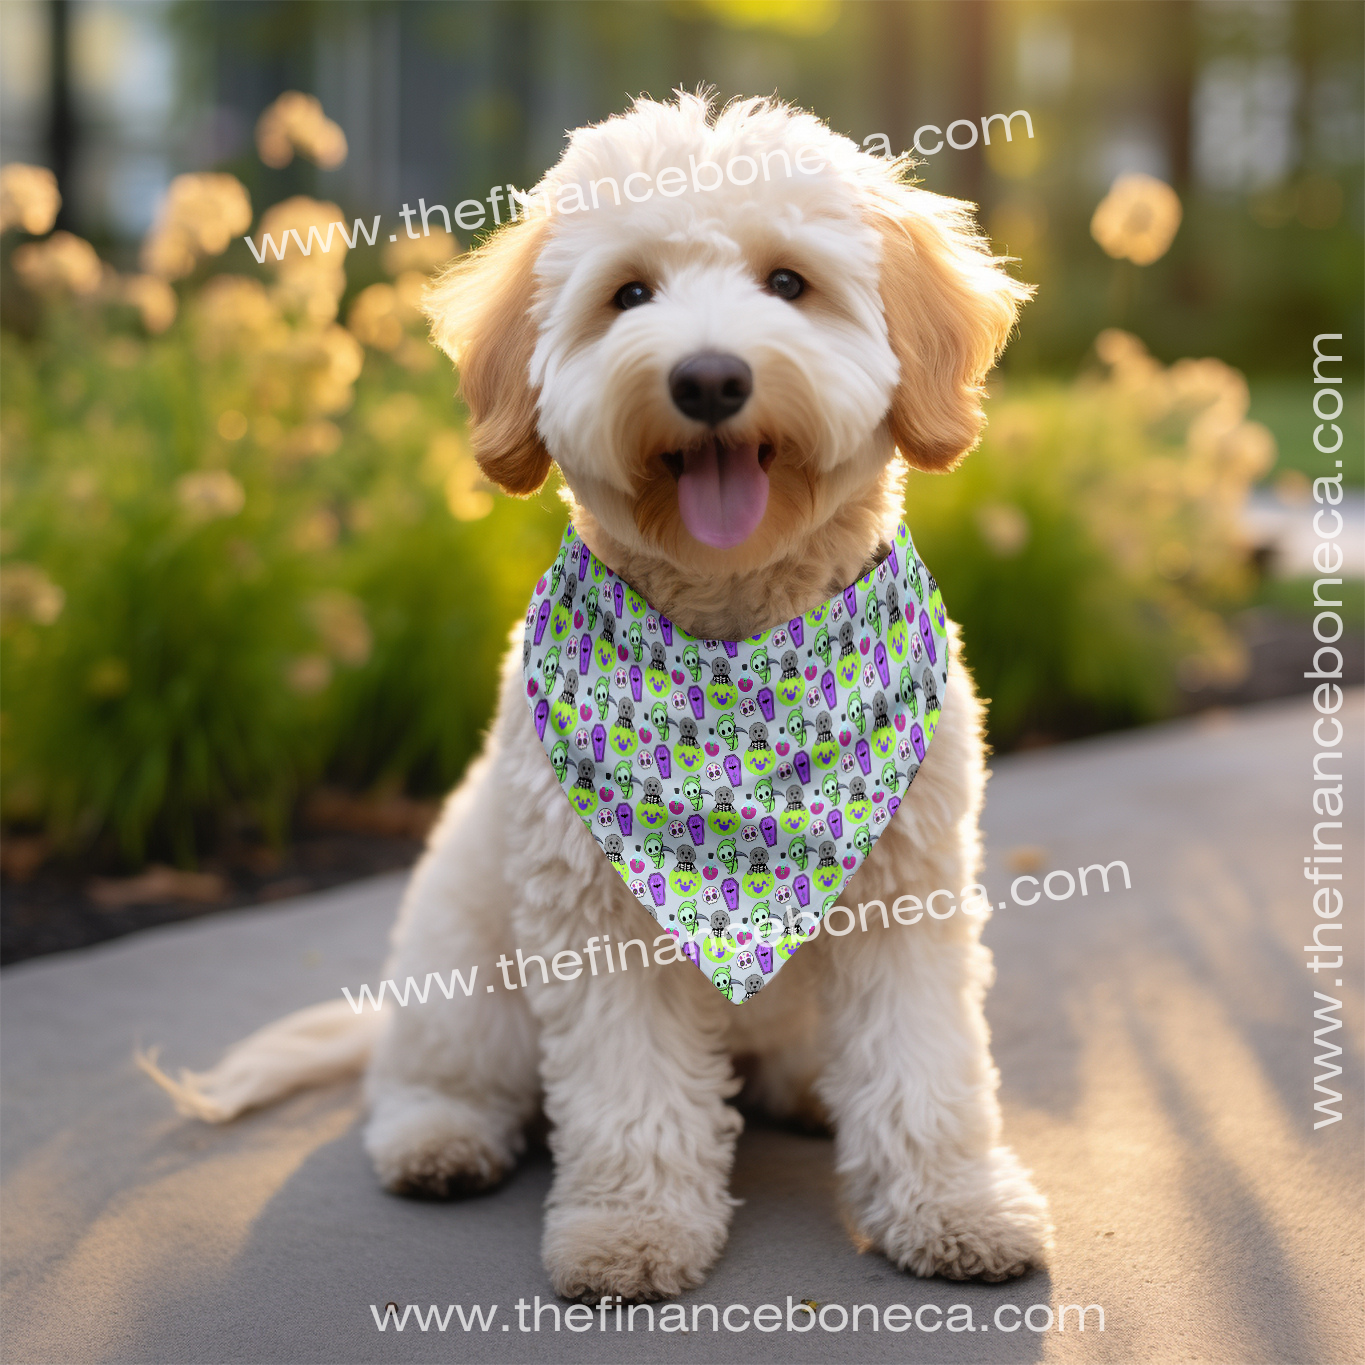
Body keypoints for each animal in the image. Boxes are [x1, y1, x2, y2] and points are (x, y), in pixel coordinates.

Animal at [154, 90, 1059, 1294]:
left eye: (789, 282)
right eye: (630, 294)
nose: (709, 379)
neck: (734, 654)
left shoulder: (908, 897)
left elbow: (927, 1068)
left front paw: (955, 1204)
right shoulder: (596, 920)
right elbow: (630, 1094)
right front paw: (630, 1230)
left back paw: (810, 1096)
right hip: (462, 972)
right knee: (424, 1079)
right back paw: (438, 1139)